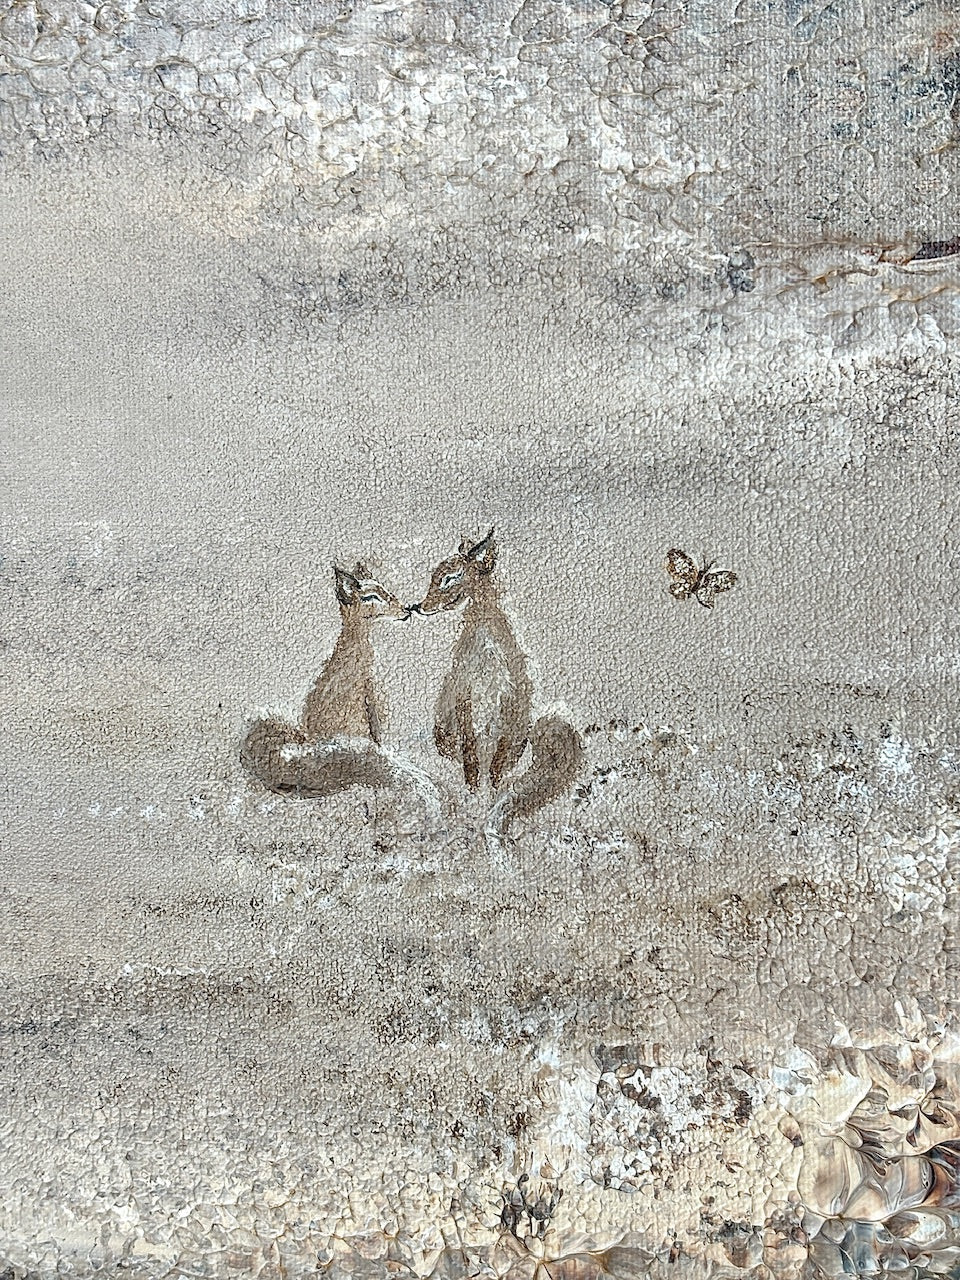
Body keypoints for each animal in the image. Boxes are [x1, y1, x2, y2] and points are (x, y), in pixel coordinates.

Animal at [410, 530, 584, 829]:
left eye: (450, 577)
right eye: (435, 575)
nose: (419, 606)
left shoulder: (509, 702)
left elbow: (496, 765)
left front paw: (490, 796)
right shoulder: (464, 696)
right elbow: (470, 758)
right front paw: (473, 797)